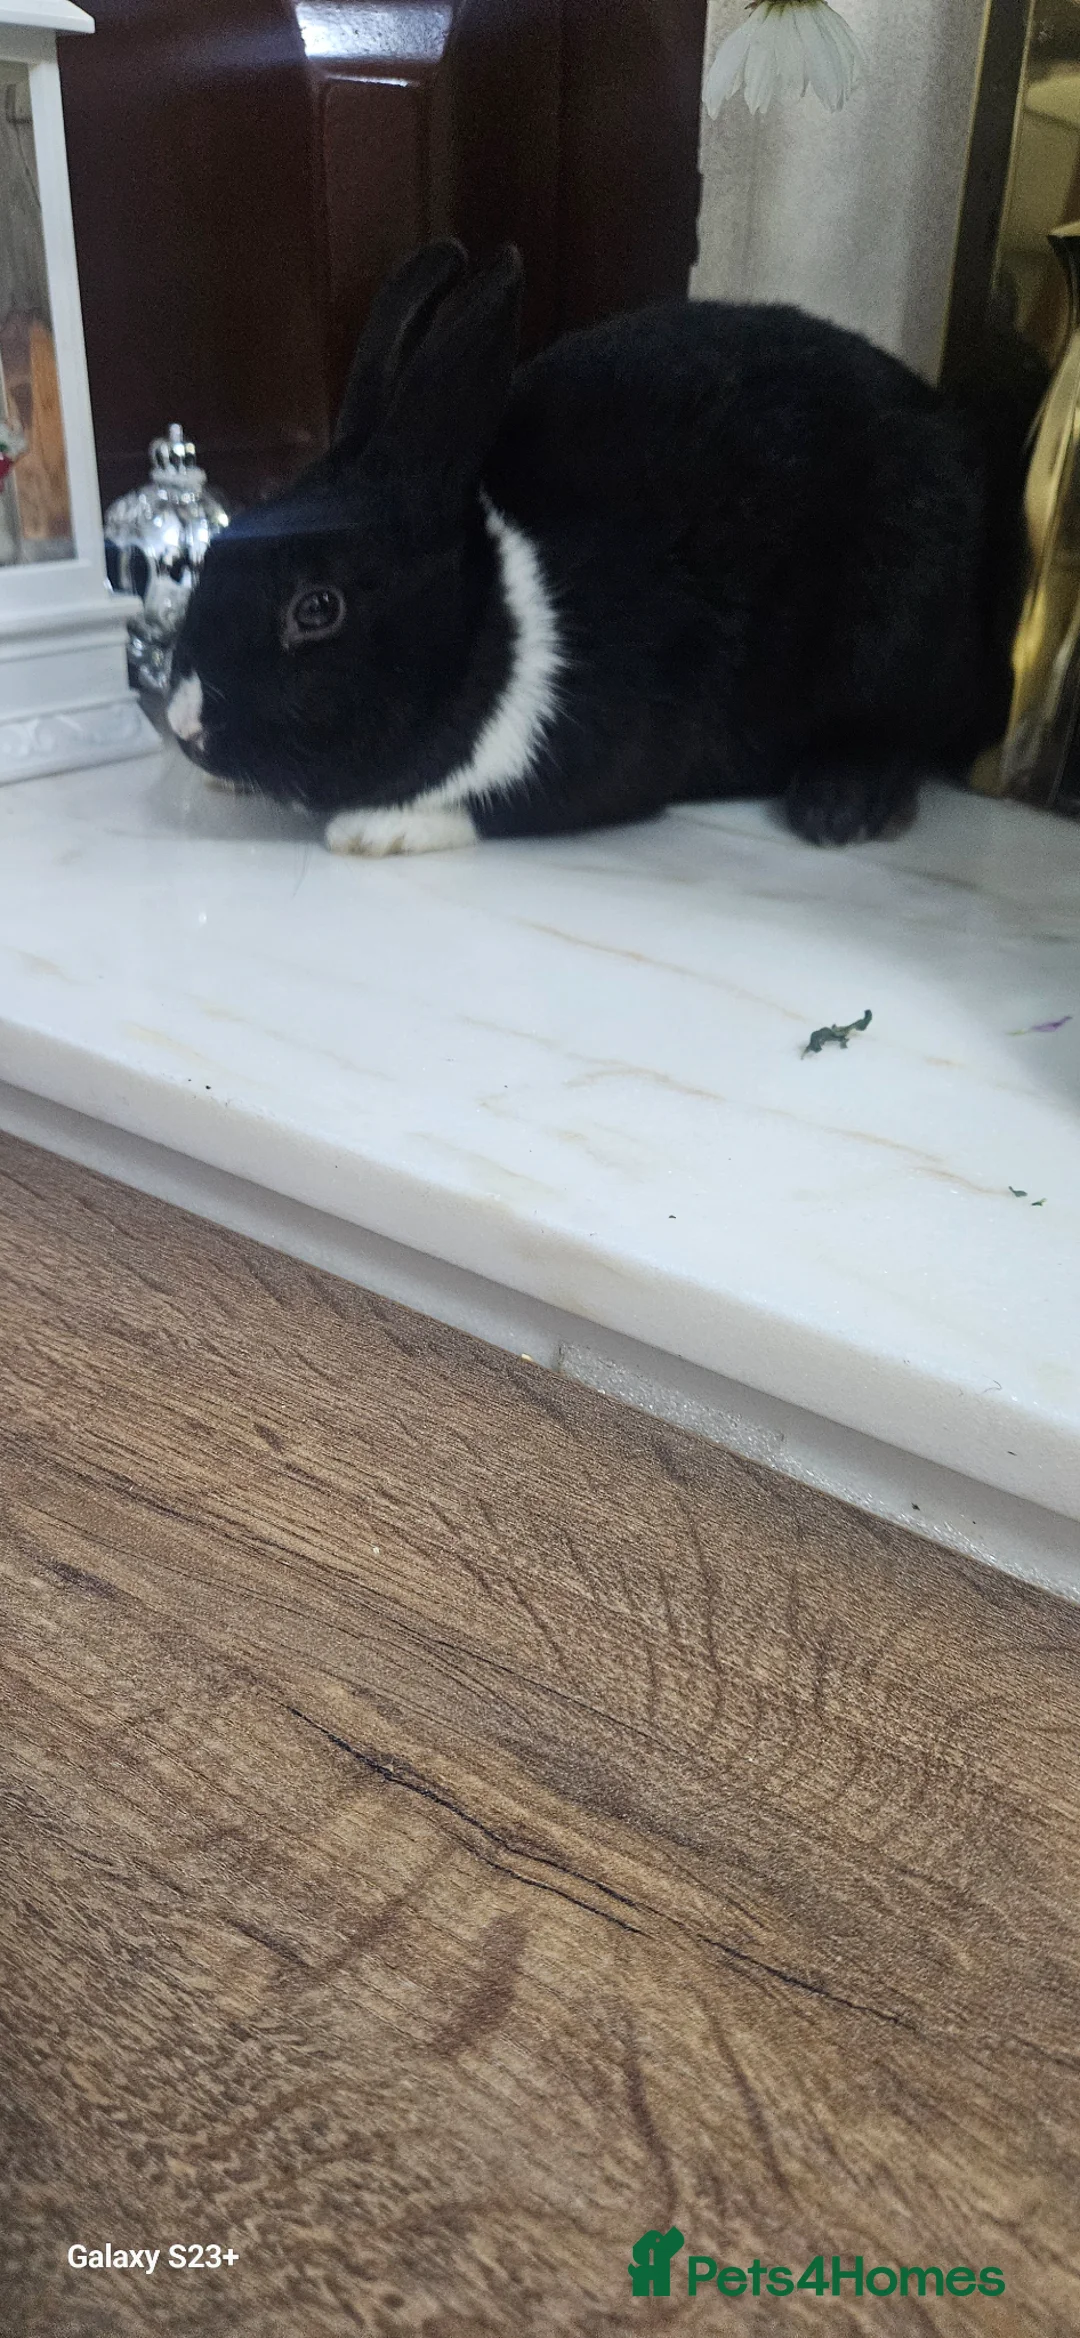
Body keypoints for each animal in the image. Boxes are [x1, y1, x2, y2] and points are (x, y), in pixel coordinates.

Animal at [167, 238, 1026, 853]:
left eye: (317, 608)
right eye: (218, 551)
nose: (184, 727)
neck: (492, 615)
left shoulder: (604, 739)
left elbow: (509, 803)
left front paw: (377, 829)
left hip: (901, 629)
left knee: (906, 731)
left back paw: (836, 807)